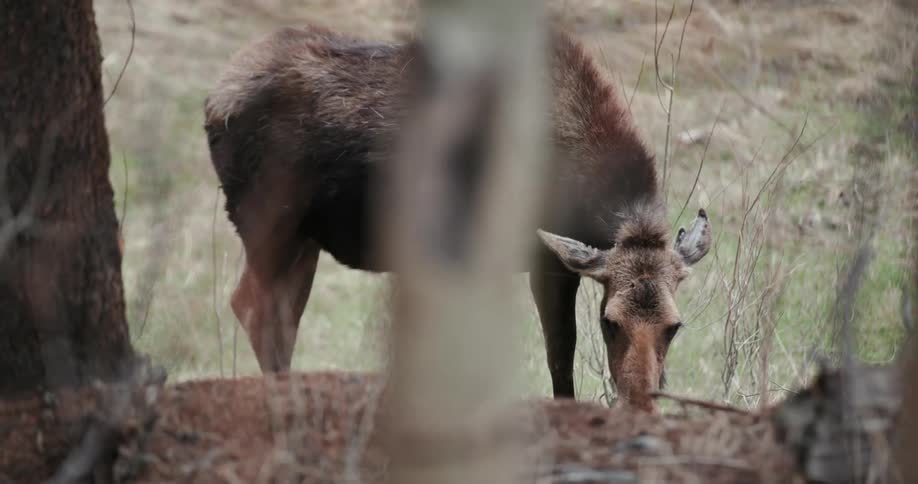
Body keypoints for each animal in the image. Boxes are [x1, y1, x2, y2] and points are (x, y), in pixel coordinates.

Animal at [204, 24, 712, 412]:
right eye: (610, 322)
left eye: (675, 326)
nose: (639, 407)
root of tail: (213, 102)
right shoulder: (540, 259)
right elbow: (557, 355)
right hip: (270, 227)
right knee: (252, 307)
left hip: (303, 240)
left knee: (278, 314)